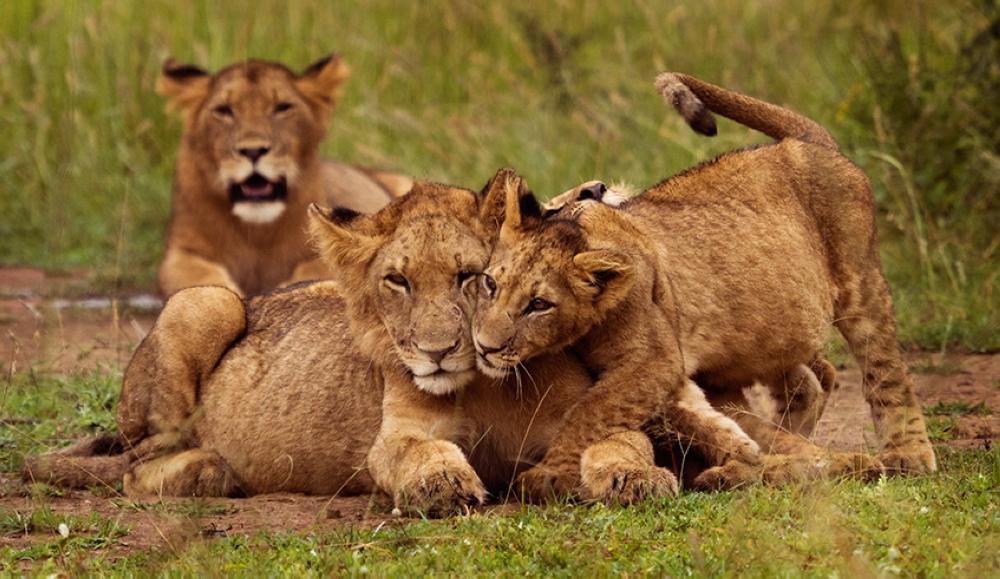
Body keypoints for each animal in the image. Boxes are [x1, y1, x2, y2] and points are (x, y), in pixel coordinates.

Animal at [23, 176, 676, 513]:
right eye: (398, 281)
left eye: (469, 277)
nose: (437, 352)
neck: (486, 387)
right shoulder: (394, 438)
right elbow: (416, 453)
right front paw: (443, 485)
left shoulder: (582, 417)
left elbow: (619, 441)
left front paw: (637, 479)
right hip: (205, 300)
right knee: (135, 468)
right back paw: (210, 470)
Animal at [156, 53, 413, 298]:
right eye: (223, 110)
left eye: (282, 107)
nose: (253, 150)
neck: (256, 233)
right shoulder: (180, 252)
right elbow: (195, 276)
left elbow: (315, 270)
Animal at [472, 72, 933, 498]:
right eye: (490, 285)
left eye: (538, 304)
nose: (484, 347)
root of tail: (805, 142)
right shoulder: (676, 377)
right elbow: (707, 421)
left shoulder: (655, 361)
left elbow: (589, 412)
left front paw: (550, 473)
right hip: (770, 329)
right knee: (809, 380)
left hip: (860, 284)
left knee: (885, 372)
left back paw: (907, 455)